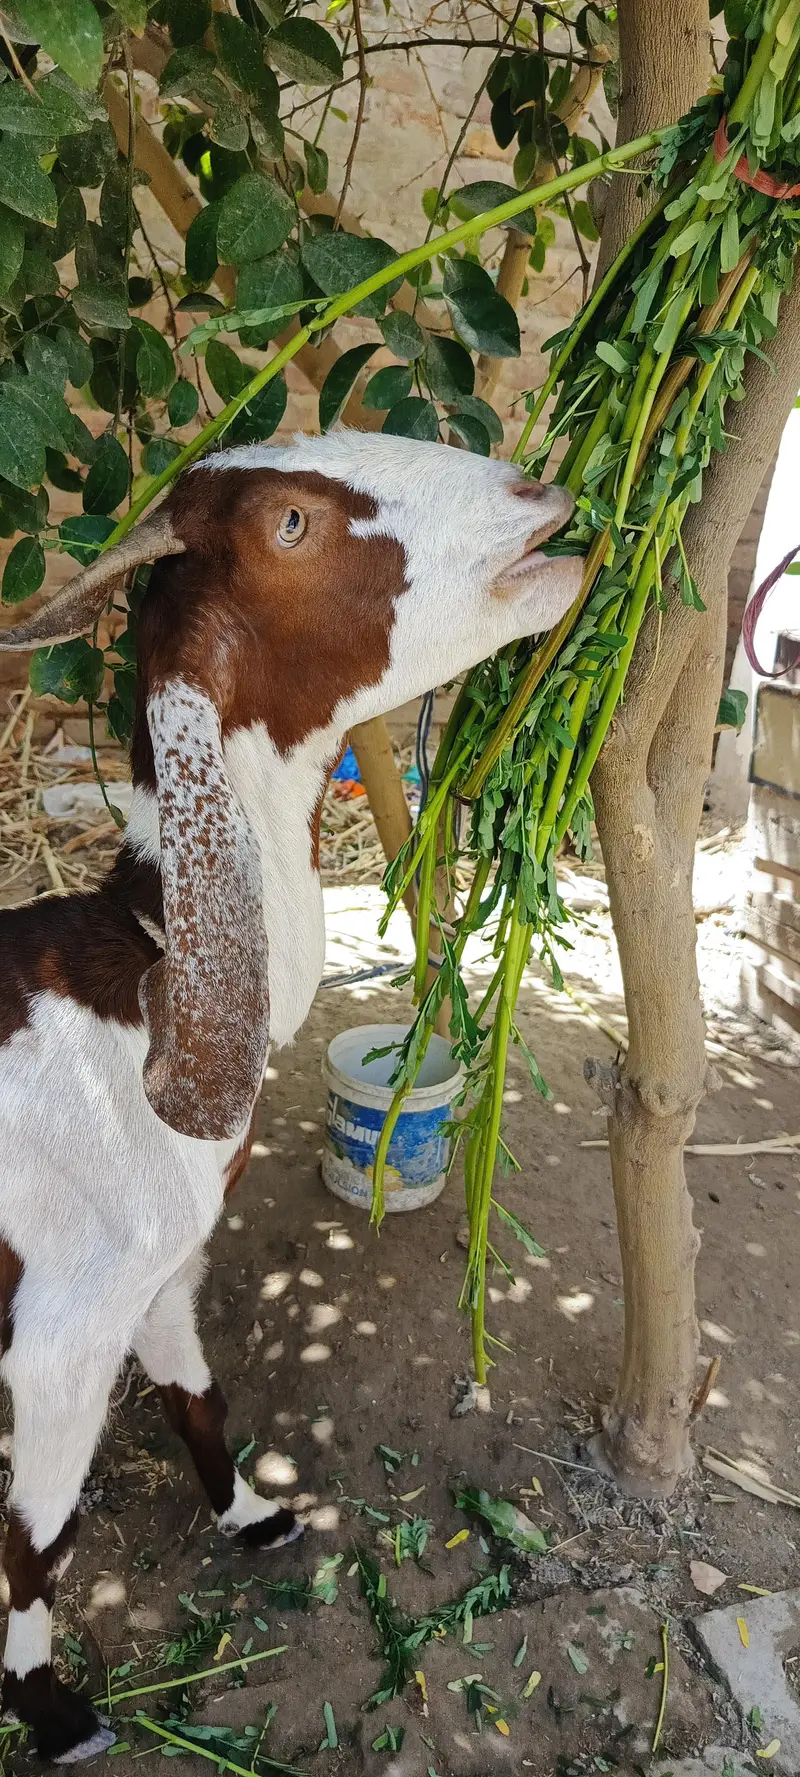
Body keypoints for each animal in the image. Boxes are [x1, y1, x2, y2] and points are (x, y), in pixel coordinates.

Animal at [0, 430, 579, 1760]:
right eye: (292, 526)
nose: (541, 495)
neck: (135, 979)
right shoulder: (57, 1336)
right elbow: (35, 1545)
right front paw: (55, 1716)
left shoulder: (162, 1269)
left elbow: (198, 1396)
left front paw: (252, 1517)